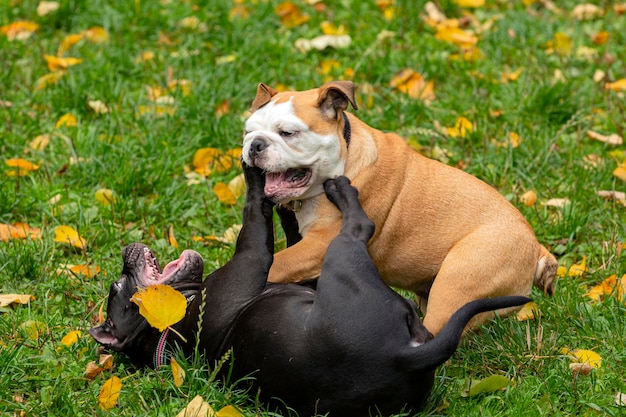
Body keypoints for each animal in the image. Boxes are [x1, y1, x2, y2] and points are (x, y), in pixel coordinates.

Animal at [89, 164, 528, 414]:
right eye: (119, 285)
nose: (125, 251)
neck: (169, 335)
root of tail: (403, 356)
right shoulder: (252, 256)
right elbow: (255, 210)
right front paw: (253, 167)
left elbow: (290, 229)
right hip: (342, 256)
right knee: (359, 225)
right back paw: (340, 190)